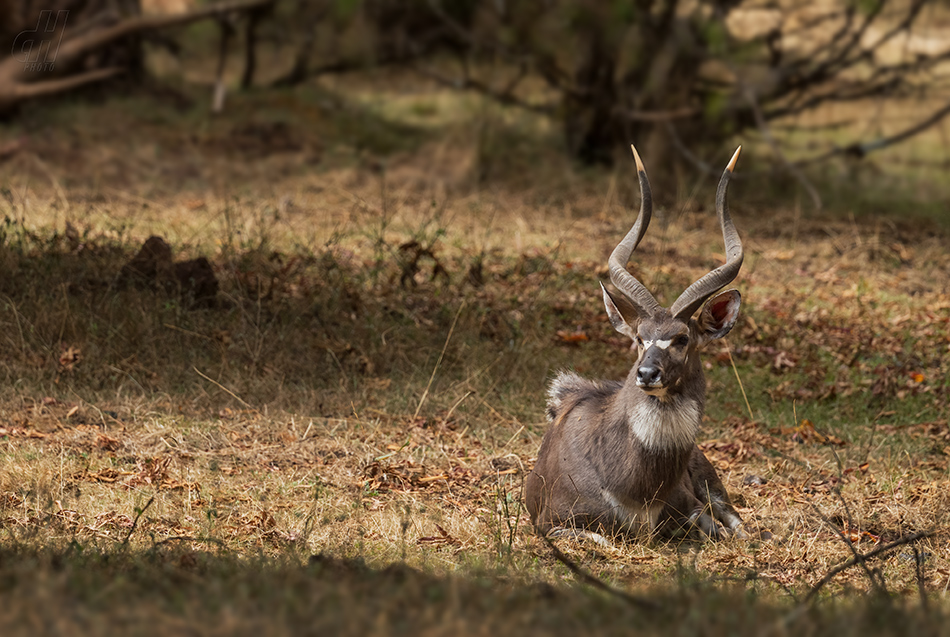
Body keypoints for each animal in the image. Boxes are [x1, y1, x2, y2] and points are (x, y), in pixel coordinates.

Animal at [524, 145, 748, 548]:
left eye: (682, 338)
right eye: (639, 337)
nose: (647, 373)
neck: (635, 489)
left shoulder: (691, 505)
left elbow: (716, 528)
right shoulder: (550, 522)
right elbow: (601, 539)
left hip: (713, 484)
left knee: (741, 525)